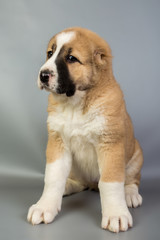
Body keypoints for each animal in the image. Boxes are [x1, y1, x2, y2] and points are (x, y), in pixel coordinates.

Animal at [26, 26, 143, 232]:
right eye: (50, 54)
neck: (75, 105)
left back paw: (129, 195)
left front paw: (116, 214)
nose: (43, 75)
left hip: (136, 154)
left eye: (71, 58)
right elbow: (53, 177)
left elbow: (111, 182)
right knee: (78, 183)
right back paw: (66, 187)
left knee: (130, 180)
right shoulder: (57, 142)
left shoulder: (110, 144)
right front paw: (44, 206)